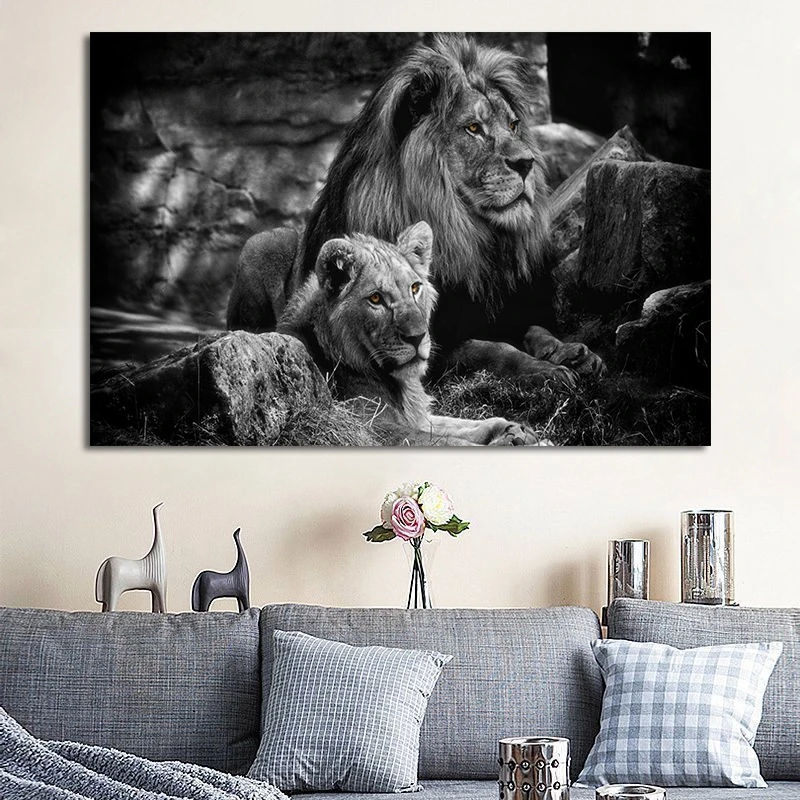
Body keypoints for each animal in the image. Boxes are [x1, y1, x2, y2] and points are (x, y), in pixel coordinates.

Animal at [228, 33, 604, 386]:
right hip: (262, 243)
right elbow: (493, 349)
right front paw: (544, 370)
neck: (469, 236)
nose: (527, 163)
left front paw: (570, 352)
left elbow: (535, 330)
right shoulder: (427, 347)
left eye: (513, 126)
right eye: (473, 128)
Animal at [277, 221, 549, 446]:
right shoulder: (371, 429)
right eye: (376, 299)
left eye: (415, 288)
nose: (417, 337)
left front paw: (515, 432)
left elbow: (461, 425)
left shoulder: (418, 418)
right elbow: (448, 443)